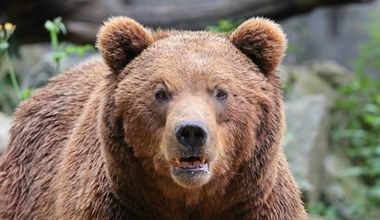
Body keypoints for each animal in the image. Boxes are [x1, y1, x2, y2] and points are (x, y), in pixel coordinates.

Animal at [0, 16, 306, 219]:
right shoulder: (113, 205)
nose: (191, 132)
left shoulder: (258, 206)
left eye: (220, 91)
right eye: (160, 92)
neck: (190, 199)